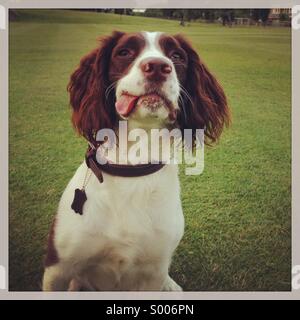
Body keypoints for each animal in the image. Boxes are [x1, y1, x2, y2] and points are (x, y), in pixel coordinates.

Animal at [42, 30, 230, 290]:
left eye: (176, 55)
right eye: (124, 52)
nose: (158, 67)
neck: (133, 167)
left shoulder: (153, 272)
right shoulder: (57, 267)